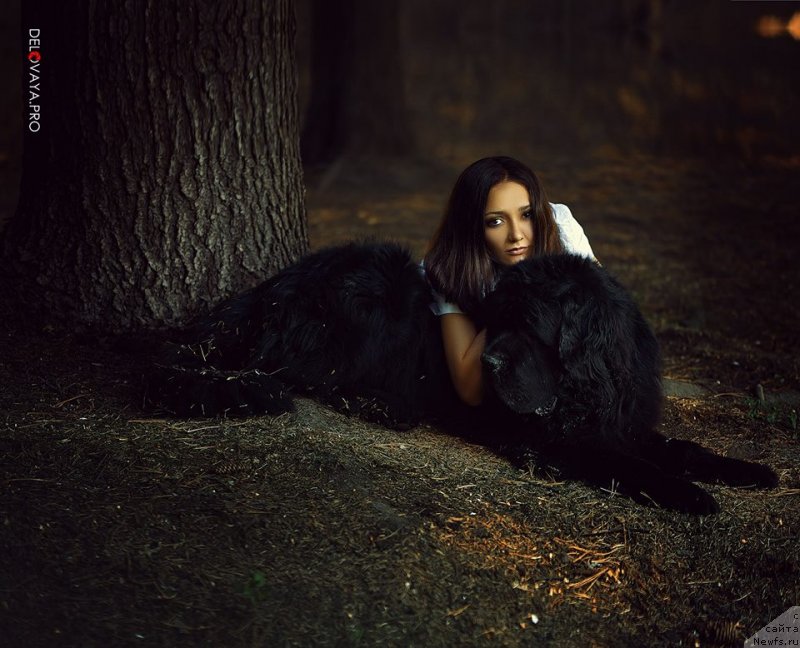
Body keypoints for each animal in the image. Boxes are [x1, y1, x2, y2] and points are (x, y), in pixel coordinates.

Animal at [147, 240, 780, 512]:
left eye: (531, 326)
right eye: (499, 321)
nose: (489, 363)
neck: (590, 382)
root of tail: (270, 289)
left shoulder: (618, 419)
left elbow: (681, 447)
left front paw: (749, 472)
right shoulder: (554, 441)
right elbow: (631, 466)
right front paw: (691, 495)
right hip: (376, 291)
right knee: (301, 369)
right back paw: (379, 406)